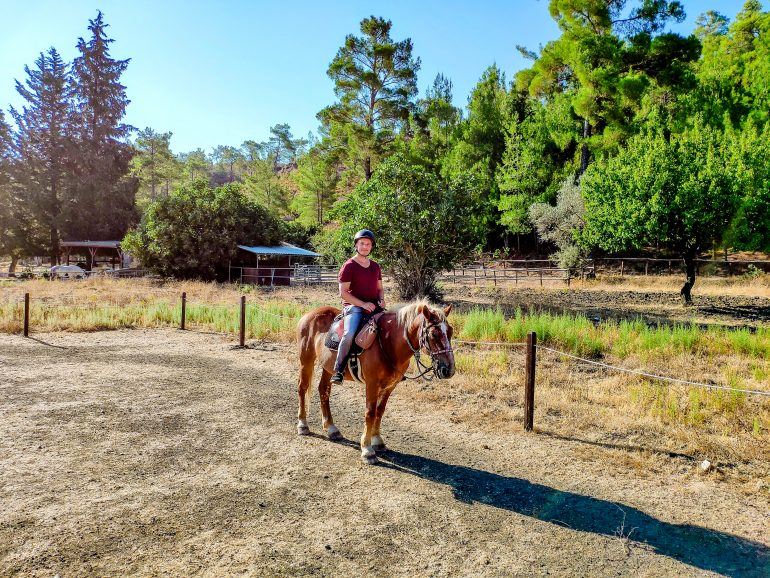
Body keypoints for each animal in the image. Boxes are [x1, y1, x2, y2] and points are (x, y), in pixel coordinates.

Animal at [292, 300, 450, 462]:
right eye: (434, 334)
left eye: (450, 332)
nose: (448, 369)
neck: (388, 342)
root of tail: (308, 315)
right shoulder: (372, 384)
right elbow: (370, 413)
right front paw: (367, 450)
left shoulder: (389, 386)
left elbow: (380, 411)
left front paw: (378, 441)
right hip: (306, 360)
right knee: (302, 387)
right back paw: (303, 425)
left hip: (328, 368)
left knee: (323, 390)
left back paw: (331, 428)